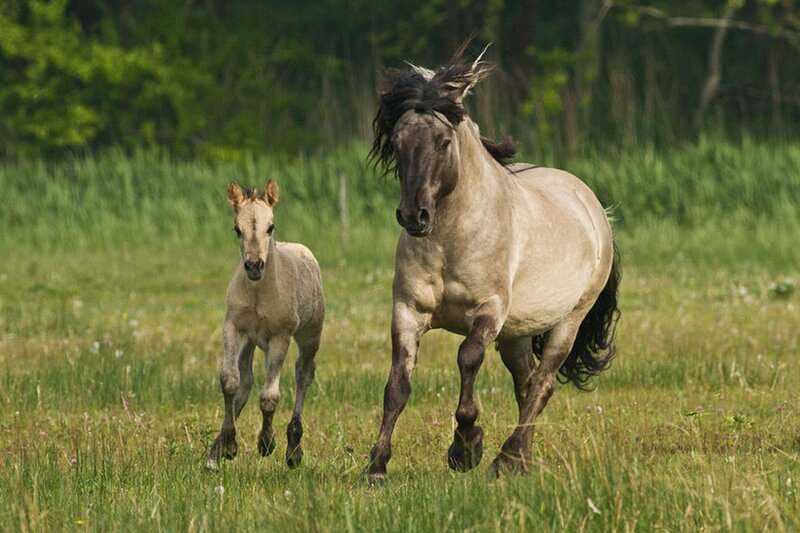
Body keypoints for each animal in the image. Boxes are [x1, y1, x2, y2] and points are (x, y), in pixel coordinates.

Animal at [206, 181, 325, 471]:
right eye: (237, 229)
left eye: (270, 226)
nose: (254, 266)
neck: (259, 294)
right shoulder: (234, 329)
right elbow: (230, 381)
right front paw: (228, 445)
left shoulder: (280, 337)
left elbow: (270, 396)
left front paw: (267, 443)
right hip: (250, 343)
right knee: (246, 383)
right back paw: (218, 450)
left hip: (310, 336)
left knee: (304, 373)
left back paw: (293, 448)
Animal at [364, 45, 621, 485]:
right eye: (396, 141)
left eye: (443, 140)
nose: (414, 216)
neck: (451, 241)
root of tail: (595, 208)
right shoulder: (408, 311)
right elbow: (396, 385)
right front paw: (377, 466)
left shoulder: (489, 311)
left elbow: (467, 358)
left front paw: (466, 446)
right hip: (517, 334)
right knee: (526, 384)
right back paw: (522, 460)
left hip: (567, 322)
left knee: (543, 384)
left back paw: (506, 458)